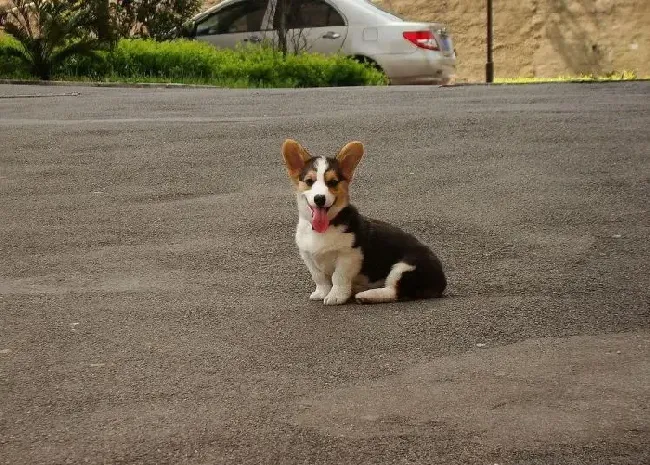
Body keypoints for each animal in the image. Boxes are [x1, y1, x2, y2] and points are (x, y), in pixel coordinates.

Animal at [280, 138, 446, 304]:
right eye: (309, 181)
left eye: (332, 182)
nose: (319, 198)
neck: (327, 225)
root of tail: (442, 280)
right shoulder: (308, 256)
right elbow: (320, 278)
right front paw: (321, 293)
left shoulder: (349, 255)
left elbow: (338, 277)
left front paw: (336, 296)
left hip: (405, 266)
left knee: (395, 291)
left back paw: (366, 295)